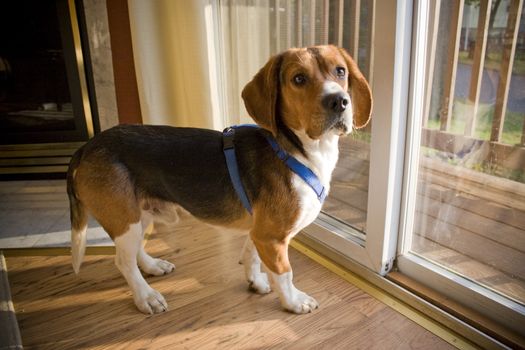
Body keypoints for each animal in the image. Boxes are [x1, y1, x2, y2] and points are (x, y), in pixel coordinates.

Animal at [67, 45, 370, 316]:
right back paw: (146, 297)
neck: (298, 149)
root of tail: (88, 146)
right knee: (123, 261)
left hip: (137, 213)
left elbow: (251, 257)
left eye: (340, 71)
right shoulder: (272, 237)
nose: (339, 101)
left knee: (135, 251)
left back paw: (153, 266)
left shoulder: (260, 232)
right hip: (124, 218)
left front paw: (256, 282)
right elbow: (284, 273)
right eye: (298, 79)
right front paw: (293, 302)